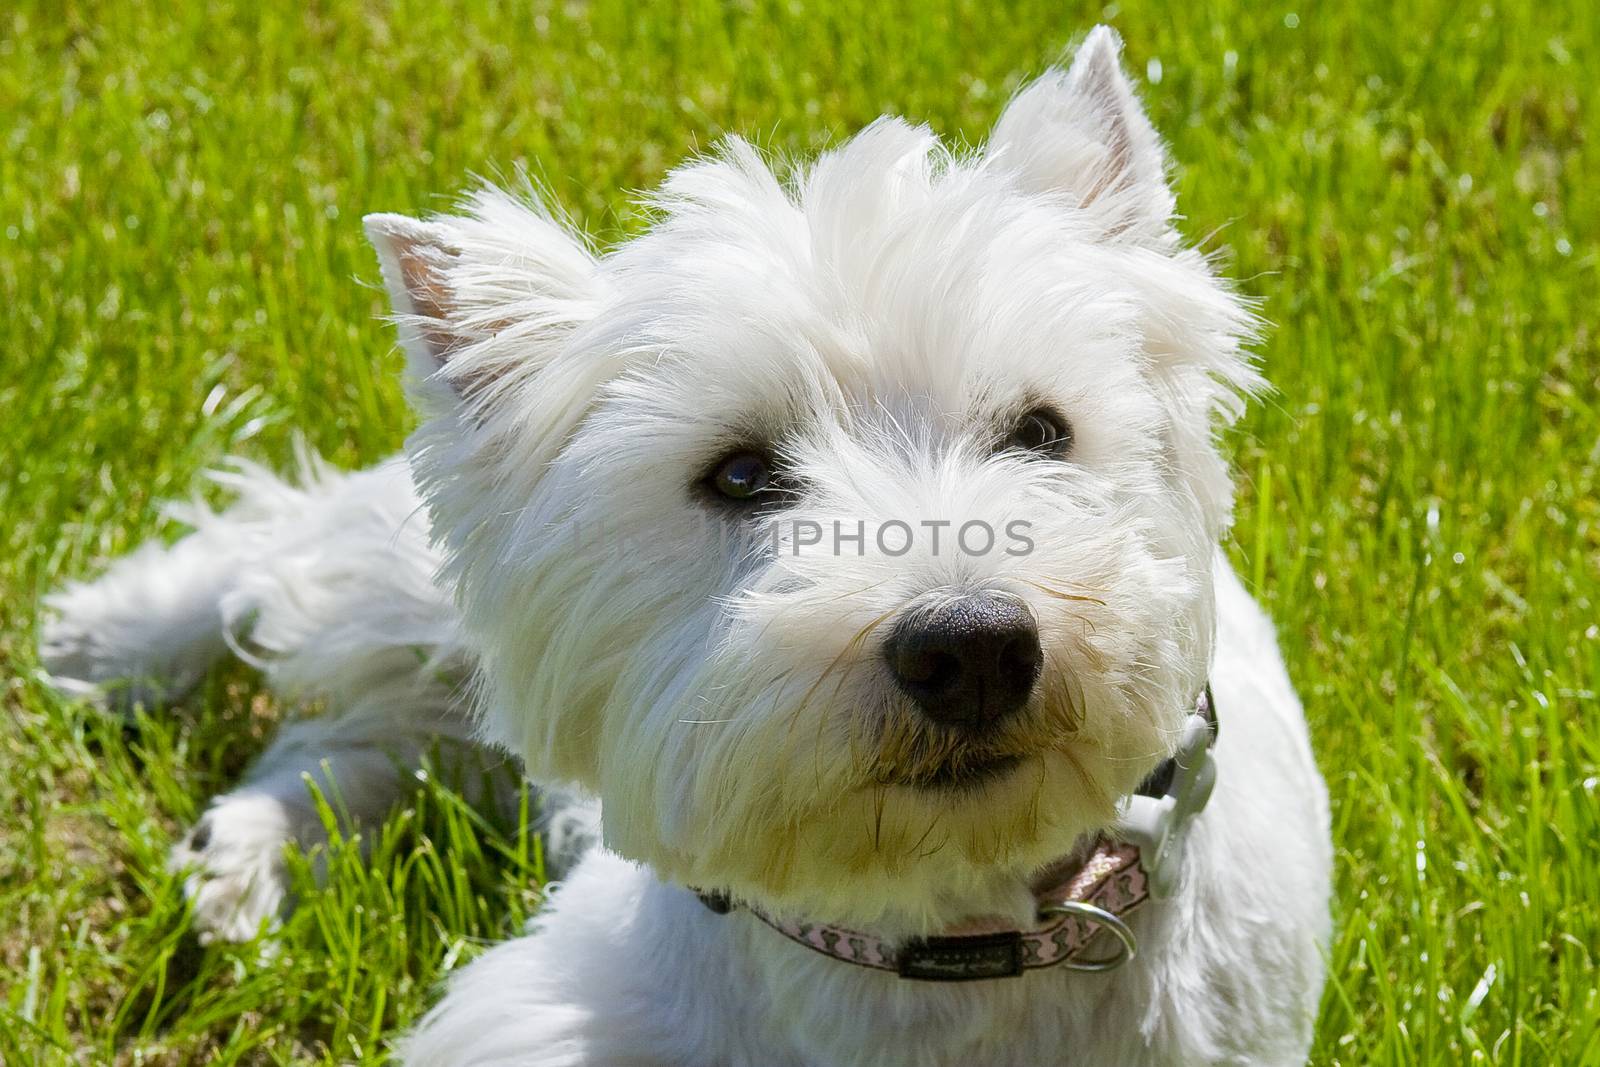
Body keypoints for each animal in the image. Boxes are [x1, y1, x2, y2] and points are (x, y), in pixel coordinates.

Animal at [43, 27, 1331, 1067]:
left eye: (1043, 430)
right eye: (740, 475)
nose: (969, 648)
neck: (931, 936)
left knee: (360, 735)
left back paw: (243, 854)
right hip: (404, 573)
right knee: (280, 549)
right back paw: (106, 648)